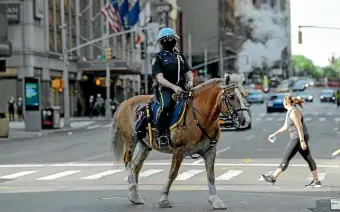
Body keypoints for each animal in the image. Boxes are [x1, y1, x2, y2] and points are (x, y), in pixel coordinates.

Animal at [109, 73, 250, 210]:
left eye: (242, 95)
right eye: (231, 96)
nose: (245, 120)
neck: (199, 117)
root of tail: (124, 103)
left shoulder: (210, 151)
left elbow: (211, 175)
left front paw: (215, 200)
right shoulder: (179, 150)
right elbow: (173, 173)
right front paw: (164, 199)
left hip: (145, 144)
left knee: (136, 165)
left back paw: (134, 195)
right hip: (131, 139)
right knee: (128, 162)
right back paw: (133, 189)